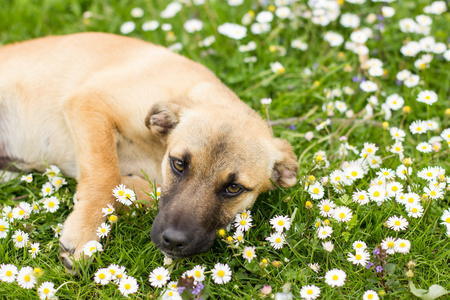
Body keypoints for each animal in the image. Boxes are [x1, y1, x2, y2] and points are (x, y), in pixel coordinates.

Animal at [0, 32, 298, 270]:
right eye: (179, 164)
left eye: (234, 188)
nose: (173, 242)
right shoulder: (89, 103)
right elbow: (105, 175)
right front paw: (85, 234)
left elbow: (137, 189)